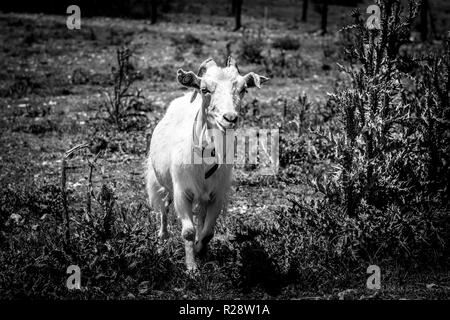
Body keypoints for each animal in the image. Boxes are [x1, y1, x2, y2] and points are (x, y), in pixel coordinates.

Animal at [145, 57, 268, 270]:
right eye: (204, 89)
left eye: (243, 89)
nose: (230, 118)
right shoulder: (182, 192)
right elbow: (187, 231)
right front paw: (191, 268)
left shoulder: (216, 194)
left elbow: (208, 232)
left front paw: (200, 252)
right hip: (162, 182)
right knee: (164, 206)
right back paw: (162, 238)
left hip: (202, 197)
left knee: (200, 217)